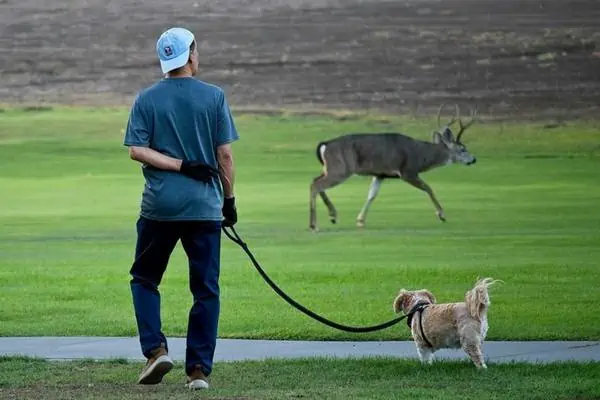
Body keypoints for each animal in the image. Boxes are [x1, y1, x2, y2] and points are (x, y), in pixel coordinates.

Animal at [310, 104, 478, 231]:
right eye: (463, 149)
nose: (474, 159)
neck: (421, 156)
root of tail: (325, 144)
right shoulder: (407, 171)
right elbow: (428, 188)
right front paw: (441, 214)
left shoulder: (380, 174)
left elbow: (371, 195)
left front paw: (360, 220)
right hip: (341, 168)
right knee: (316, 185)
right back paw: (315, 224)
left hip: (330, 168)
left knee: (315, 181)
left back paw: (331, 216)